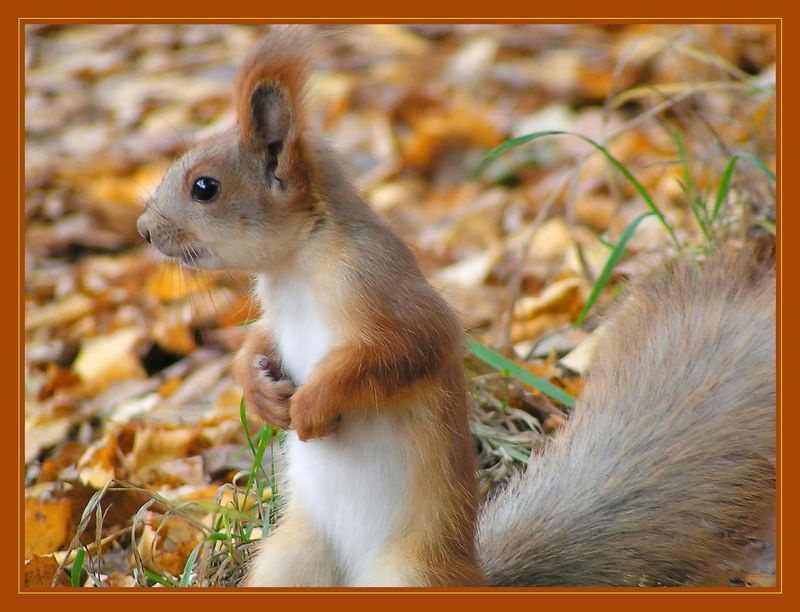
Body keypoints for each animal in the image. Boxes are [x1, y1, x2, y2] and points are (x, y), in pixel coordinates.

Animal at [136, 27, 776, 587]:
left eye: (204, 187)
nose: (143, 230)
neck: (294, 266)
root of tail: (473, 578)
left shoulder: (376, 282)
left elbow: (407, 348)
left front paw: (314, 403)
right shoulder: (280, 310)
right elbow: (260, 342)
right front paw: (260, 388)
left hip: (409, 574)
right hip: (290, 562)